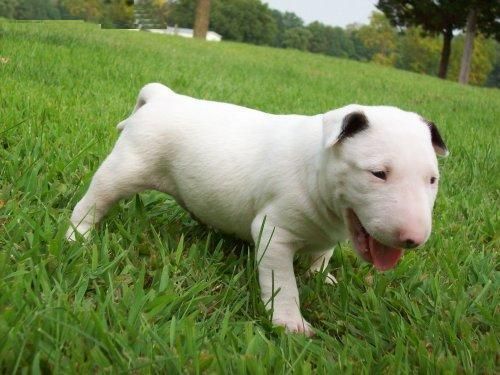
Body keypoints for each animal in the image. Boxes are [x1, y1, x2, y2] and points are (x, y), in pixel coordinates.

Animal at [67, 82, 450, 334]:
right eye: (378, 173)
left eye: (432, 179)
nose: (413, 239)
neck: (316, 168)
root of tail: (164, 96)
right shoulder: (274, 232)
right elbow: (283, 282)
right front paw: (290, 324)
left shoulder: (328, 234)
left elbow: (321, 255)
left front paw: (321, 278)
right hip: (127, 166)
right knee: (96, 198)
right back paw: (77, 236)